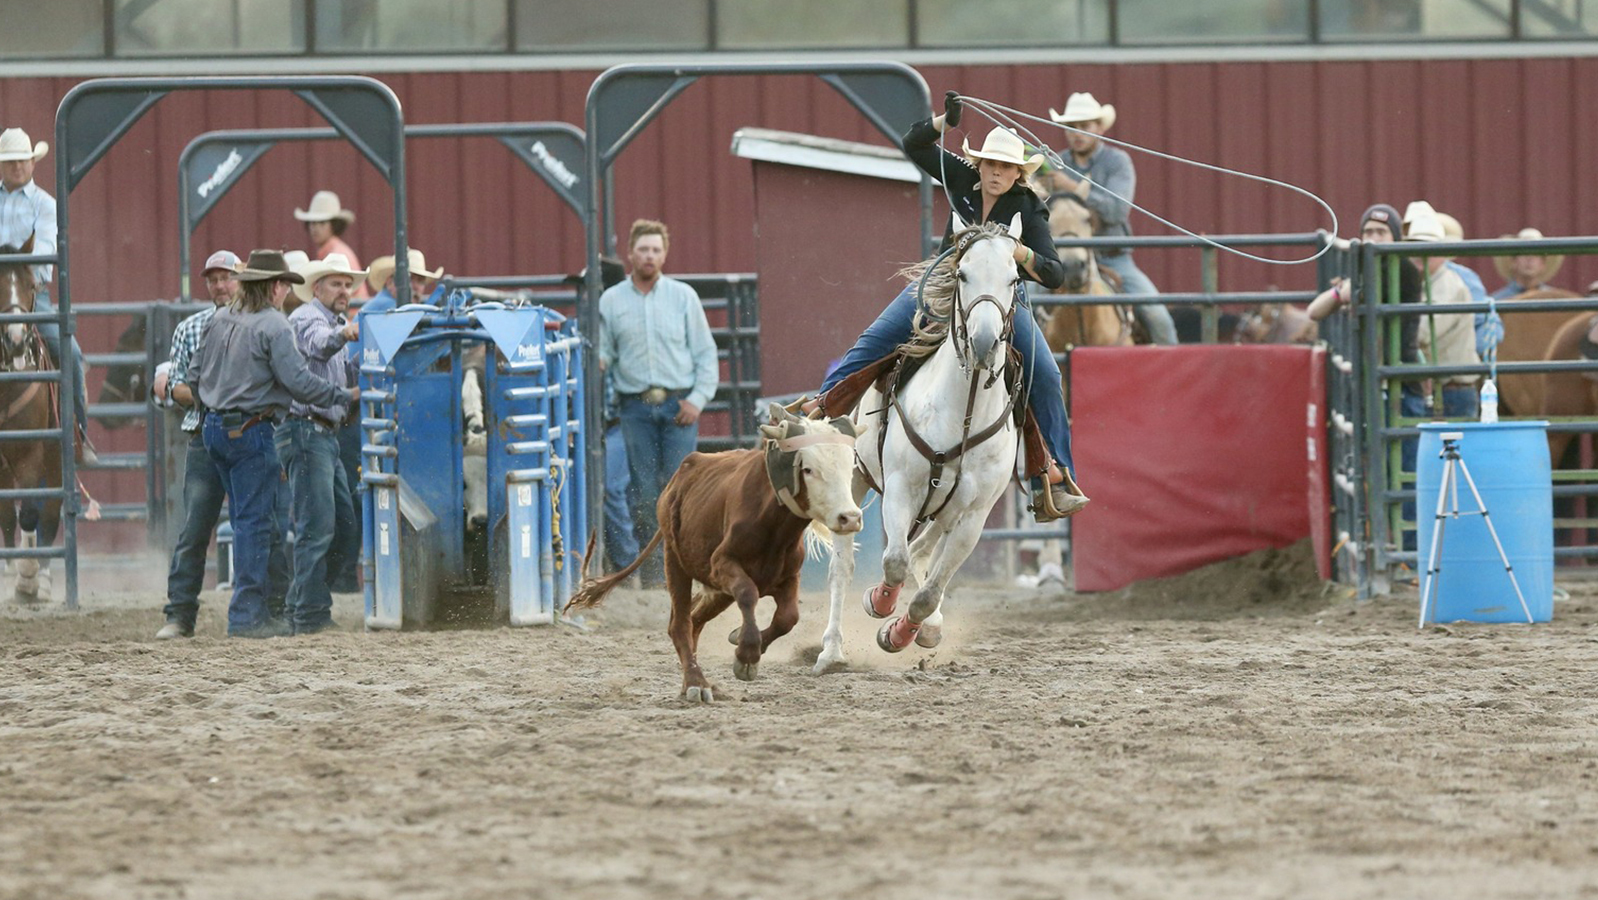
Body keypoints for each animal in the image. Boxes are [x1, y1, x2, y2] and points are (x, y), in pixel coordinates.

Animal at [564, 404, 863, 702]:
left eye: (850, 467)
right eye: (809, 469)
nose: (850, 517)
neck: (773, 525)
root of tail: (680, 476)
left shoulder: (789, 576)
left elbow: (788, 617)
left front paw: (743, 643)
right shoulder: (722, 565)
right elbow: (748, 594)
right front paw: (746, 656)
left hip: (717, 591)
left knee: (695, 621)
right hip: (675, 561)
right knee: (680, 624)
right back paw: (696, 682)